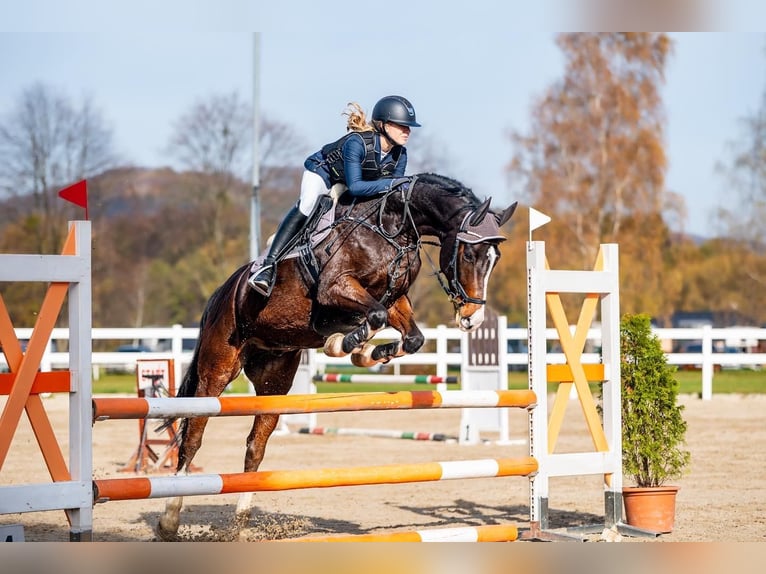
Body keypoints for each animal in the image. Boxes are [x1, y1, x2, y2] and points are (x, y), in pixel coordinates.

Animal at [155, 173, 516, 544]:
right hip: (218, 369)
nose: (472, 318)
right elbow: (373, 316)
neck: (392, 228)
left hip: (275, 379)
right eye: (469, 253)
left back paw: (239, 524)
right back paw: (169, 520)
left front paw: (367, 352)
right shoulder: (337, 288)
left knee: (255, 446)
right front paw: (345, 344)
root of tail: (222, 291)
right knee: (192, 438)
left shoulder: (394, 298)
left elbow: (410, 335)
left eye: (495, 258)